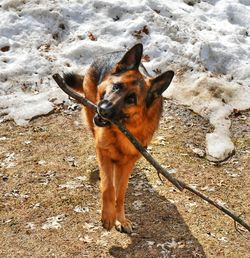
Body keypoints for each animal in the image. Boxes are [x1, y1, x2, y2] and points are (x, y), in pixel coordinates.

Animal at [64, 43, 174, 233]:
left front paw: (120, 219)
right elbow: (109, 188)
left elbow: (120, 192)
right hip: (90, 113)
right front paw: (108, 216)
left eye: (131, 99)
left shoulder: (128, 162)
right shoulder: (103, 152)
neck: (123, 131)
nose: (103, 109)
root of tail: (112, 53)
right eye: (117, 87)